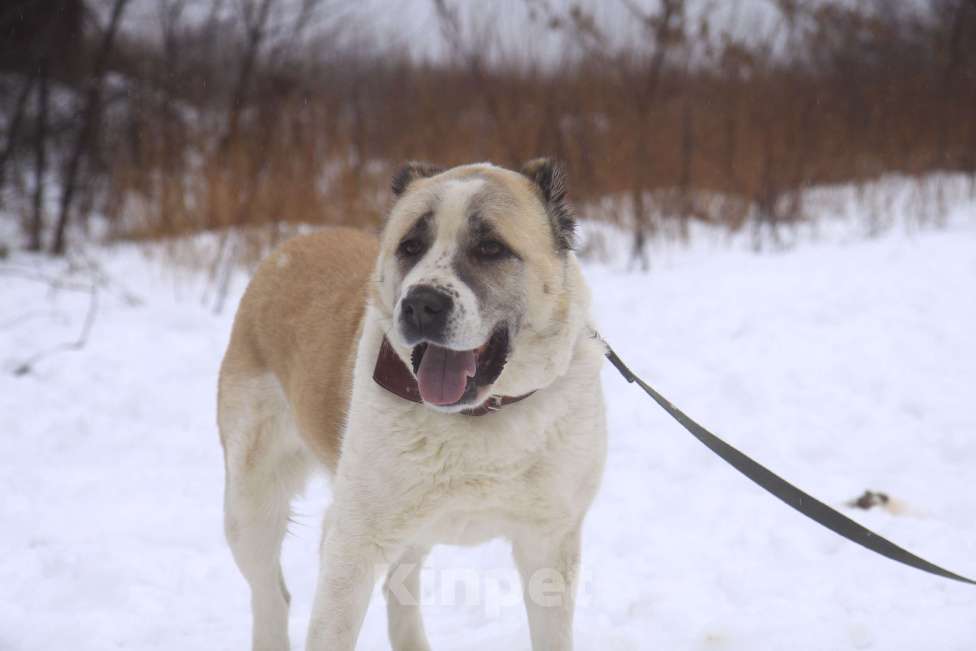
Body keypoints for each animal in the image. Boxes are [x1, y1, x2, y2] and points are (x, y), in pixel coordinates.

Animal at [217, 159, 608, 651]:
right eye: (410, 246)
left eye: (490, 247)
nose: (422, 303)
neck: (478, 417)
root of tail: (288, 247)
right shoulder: (354, 545)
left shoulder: (549, 543)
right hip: (252, 503)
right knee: (270, 595)